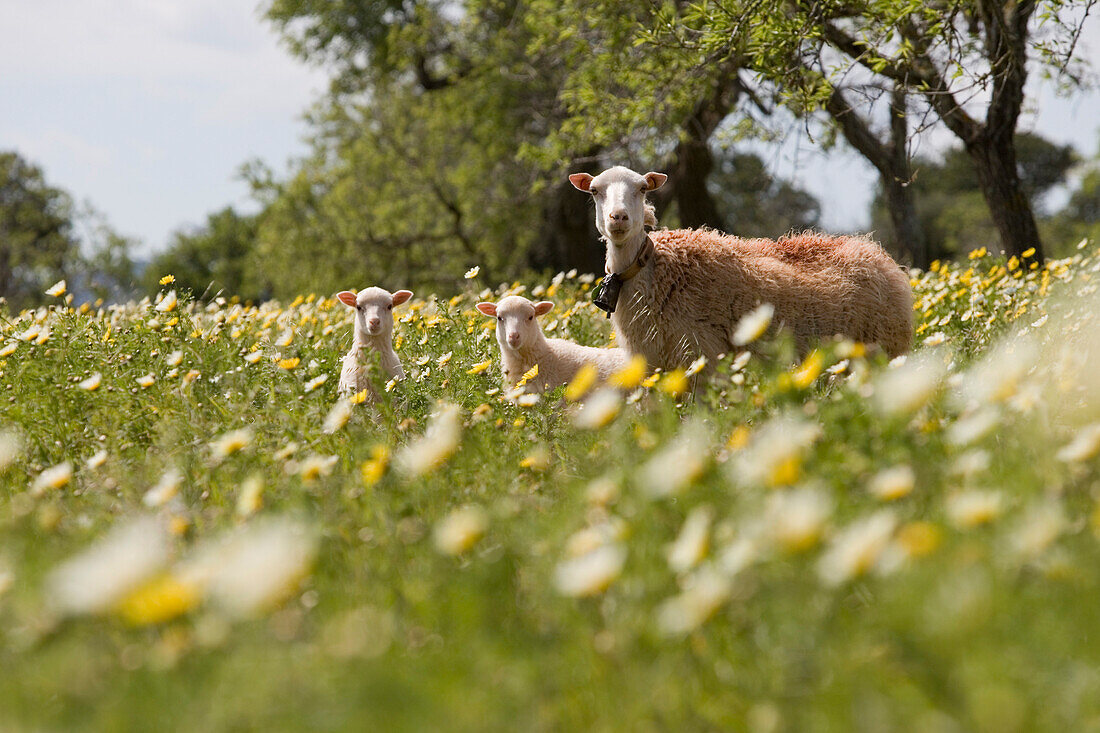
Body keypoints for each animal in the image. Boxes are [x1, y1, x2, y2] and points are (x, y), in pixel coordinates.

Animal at [567, 167, 910, 367]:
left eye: (642, 189)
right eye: (595, 191)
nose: (619, 218)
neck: (654, 269)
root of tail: (875, 251)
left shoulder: (701, 354)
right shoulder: (653, 365)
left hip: (885, 348)